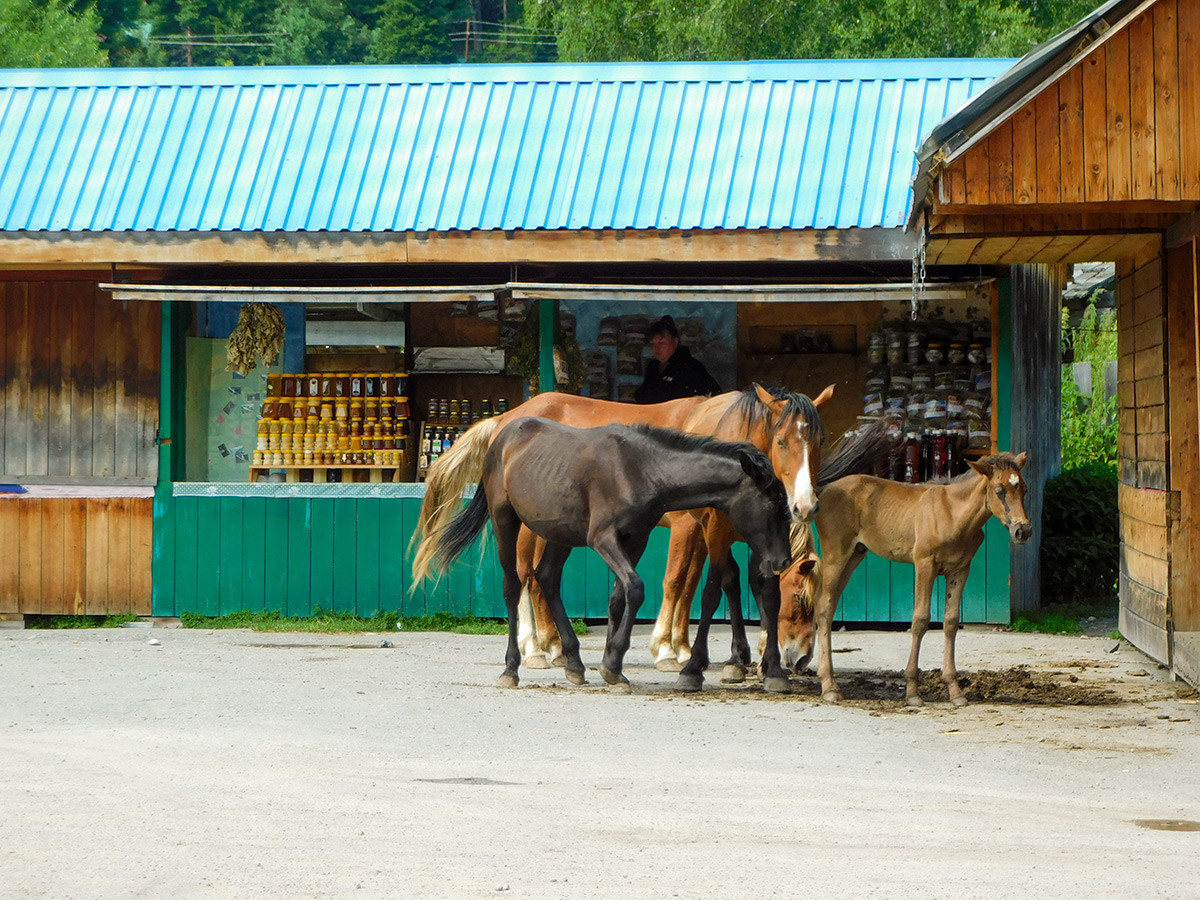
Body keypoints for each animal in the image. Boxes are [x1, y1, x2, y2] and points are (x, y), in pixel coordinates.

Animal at [811, 453, 1036, 710]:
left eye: (1025, 489)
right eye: (999, 490)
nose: (1023, 531)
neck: (953, 514)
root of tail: (825, 491)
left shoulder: (960, 570)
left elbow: (951, 621)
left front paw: (955, 691)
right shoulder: (924, 565)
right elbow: (920, 620)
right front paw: (912, 692)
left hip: (855, 555)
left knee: (829, 606)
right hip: (835, 556)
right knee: (824, 607)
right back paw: (829, 687)